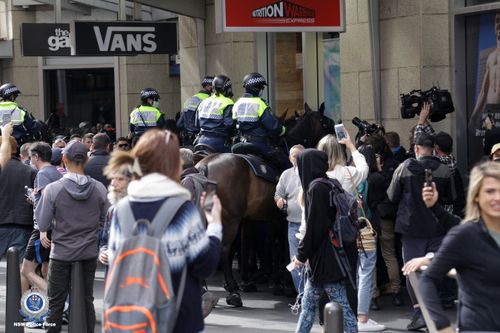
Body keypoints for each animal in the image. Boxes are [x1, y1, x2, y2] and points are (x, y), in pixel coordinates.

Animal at [196, 102, 336, 304]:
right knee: (224, 249)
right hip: (230, 219)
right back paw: (233, 291)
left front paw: (272, 282)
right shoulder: (281, 219)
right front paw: (284, 284)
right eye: (327, 123)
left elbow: (267, 245)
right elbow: (279, 247)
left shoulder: (264, 218)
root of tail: (204, 166)